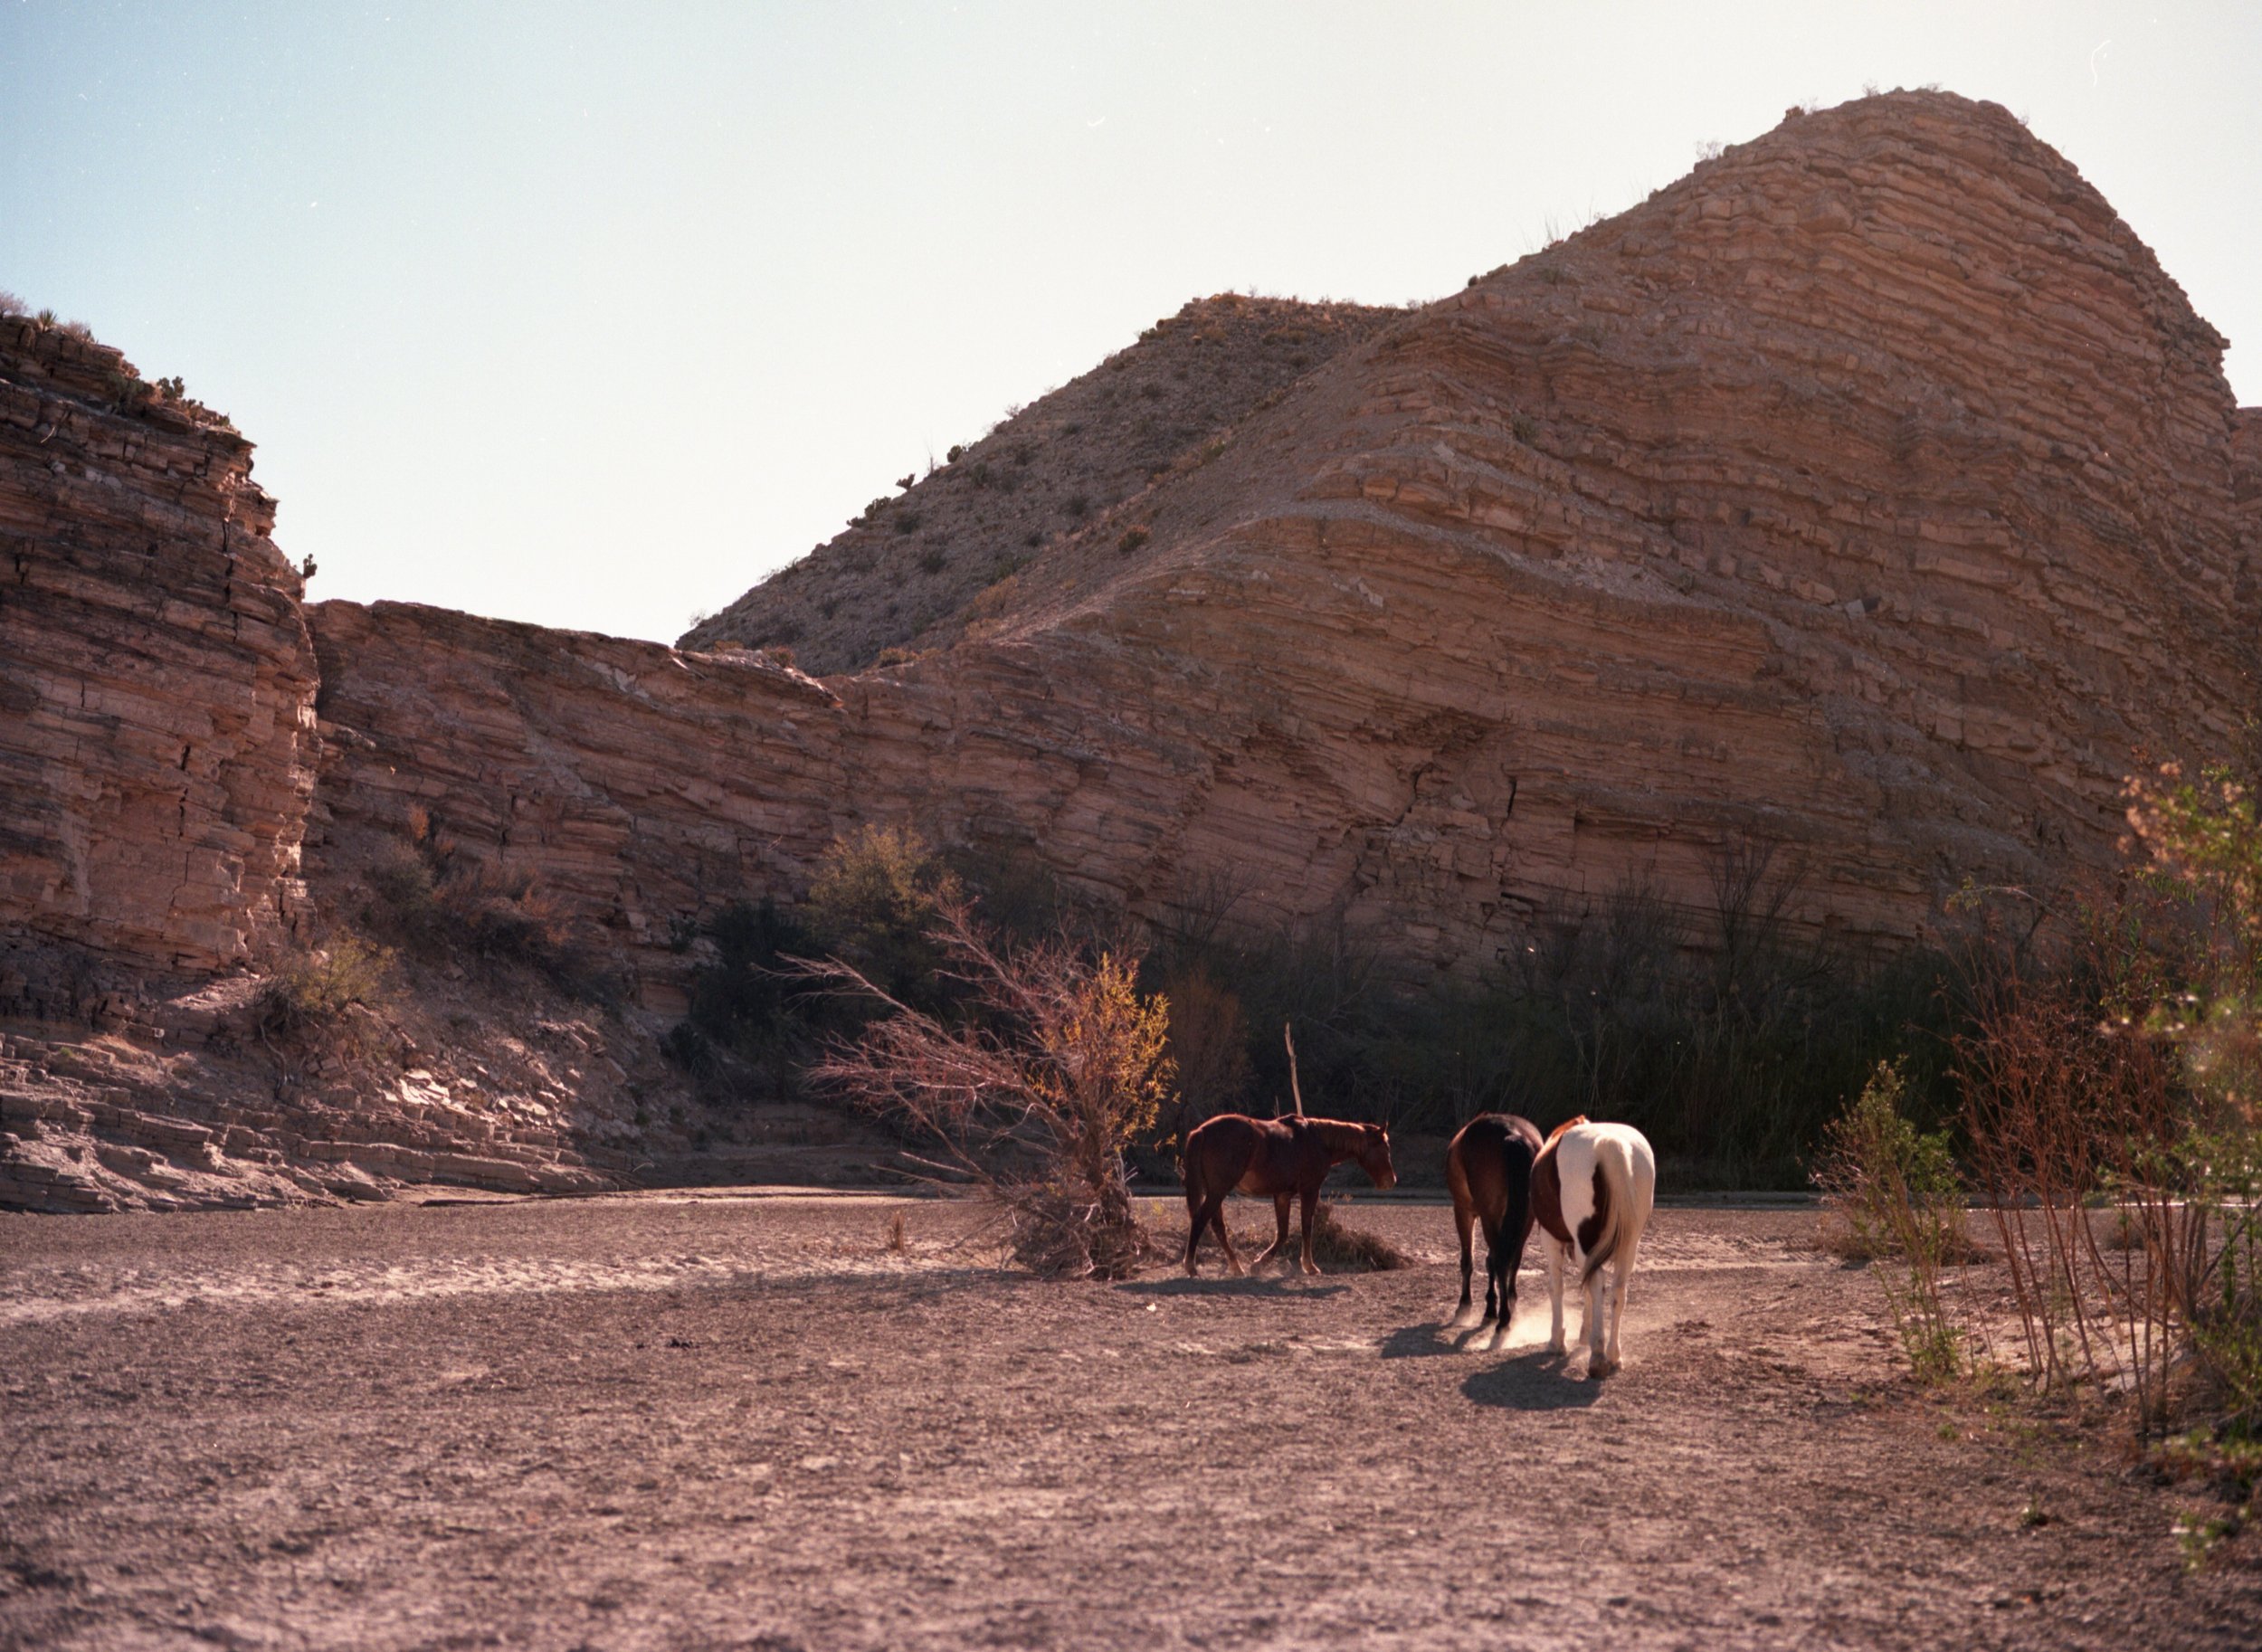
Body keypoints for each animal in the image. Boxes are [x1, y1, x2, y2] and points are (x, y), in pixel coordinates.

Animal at [1185, 1113, 1393, 1276]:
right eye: (1385, 1148)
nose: (1391, 1180)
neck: (1317, 1141)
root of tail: (1202, 1131)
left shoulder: (1283, 1195)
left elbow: (1283, 1233)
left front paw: (1260, 1264)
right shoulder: (1310, 1191)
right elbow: (1306, 1228)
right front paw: (1309, 1266)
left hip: (1216, 1192)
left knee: (1217, 1226)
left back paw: (1236, 1267)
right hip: (1218, 1191)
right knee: (1200, 1220)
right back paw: (1191, 1267)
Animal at [1439, 1113, 1547, 1348]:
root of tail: (1513, 1134)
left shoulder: (1464, 1211)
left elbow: (1468, 1261)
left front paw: (1465, 1306)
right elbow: (1491, 1262)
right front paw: (1490, 1309)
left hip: (1488, 1215)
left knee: (1501, 1261)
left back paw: (1504, 1322)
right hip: (1525, 1219)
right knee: (1512, 1261)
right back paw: (1510, 1311)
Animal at [1529, 1113, 1656, 1366]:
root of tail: (1609, 1143)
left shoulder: (1551, 1239)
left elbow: (1557, 1287)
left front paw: (1557, 1341)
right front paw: (1583, 1333)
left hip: (1583, 1244)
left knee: (1597, 1282)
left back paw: (1598, 1353)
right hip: (1628, 1246)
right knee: (1618, 1290)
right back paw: (1613, 1353)